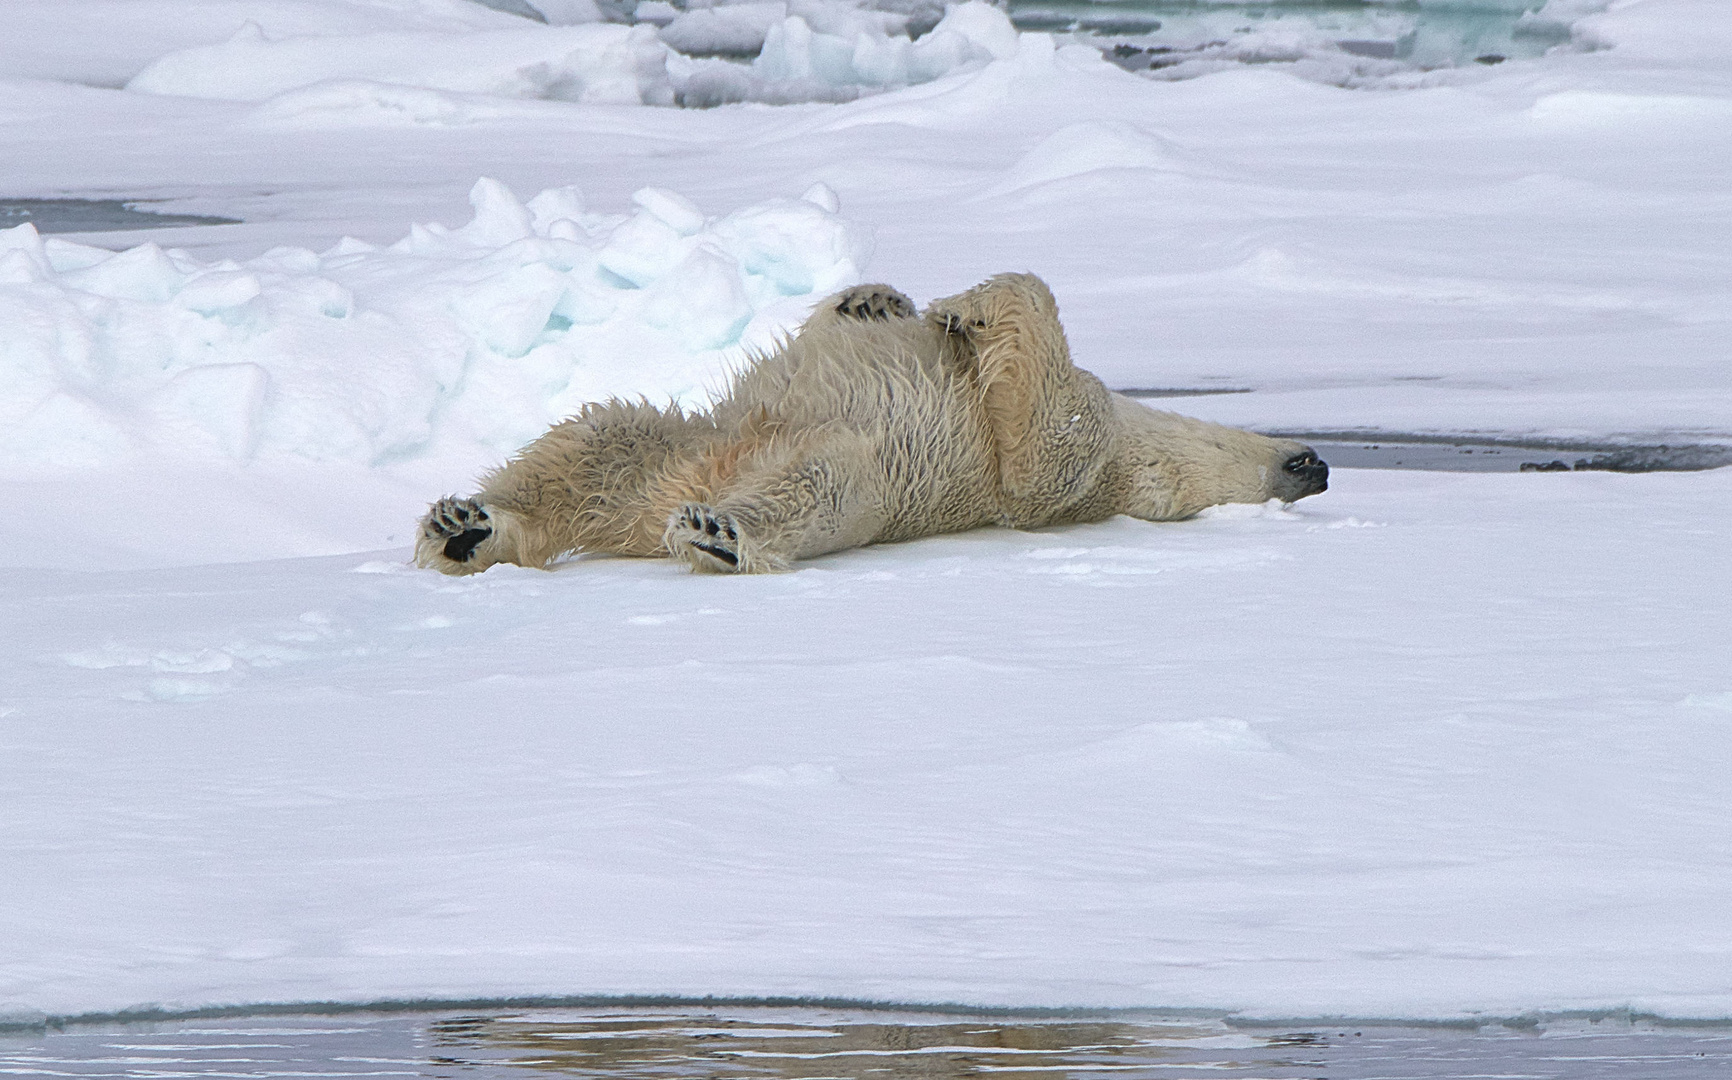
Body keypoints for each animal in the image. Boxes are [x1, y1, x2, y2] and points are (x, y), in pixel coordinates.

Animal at [415, 271, 1323, 574]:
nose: (1313, 460)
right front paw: (876, 301)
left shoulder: (1089, 460)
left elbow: (1040, 452)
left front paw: (966, 307)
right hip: (687, 440)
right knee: (593, 443)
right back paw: (465, 526)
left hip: (866, 478)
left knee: (810, 484)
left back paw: (718, 533)